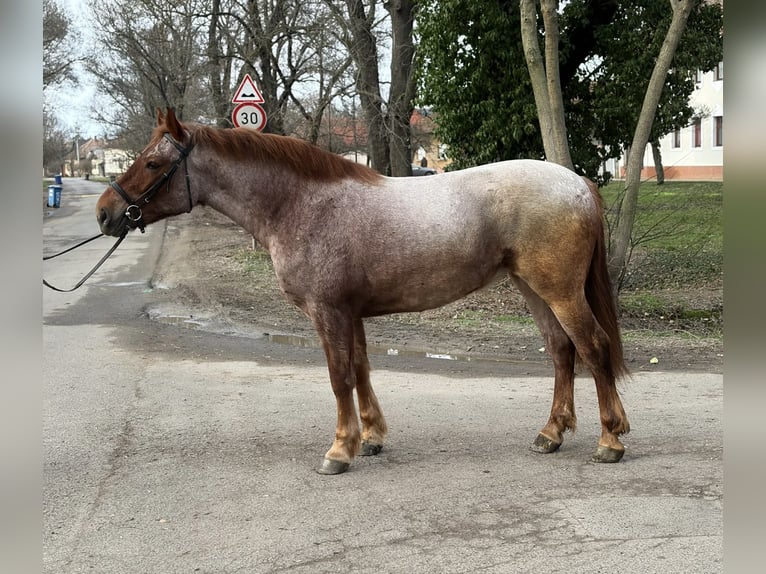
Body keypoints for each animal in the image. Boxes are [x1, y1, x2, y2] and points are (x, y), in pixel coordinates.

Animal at [96, 108, 630, 475]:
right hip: (533, 288)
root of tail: (578, 183)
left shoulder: (328, 312)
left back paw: (610, 441)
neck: (300, 204)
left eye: (151, 163)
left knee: (592, 347)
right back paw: (551, 433)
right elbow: (360, 370)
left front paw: (339, 450)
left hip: (559, 290)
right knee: (562, 351)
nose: (105, 213)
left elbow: (339, 377)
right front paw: (370, 437)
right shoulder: (350, 313)